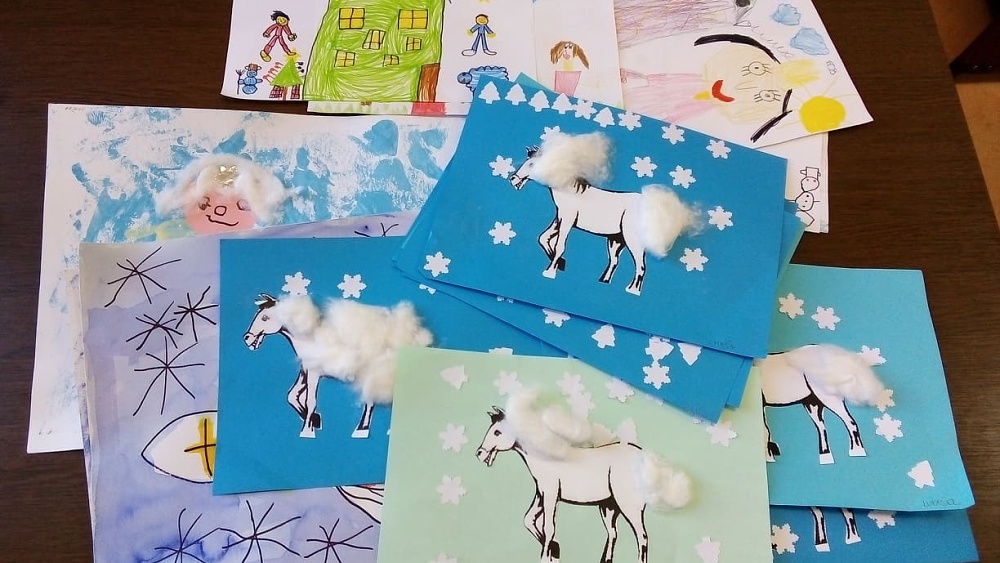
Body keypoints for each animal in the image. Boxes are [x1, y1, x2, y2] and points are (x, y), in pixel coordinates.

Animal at [242, 293, 374, 439]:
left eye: (265, 317)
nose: (247, 338)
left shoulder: (314, 373)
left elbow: (310, 401)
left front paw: (307, 430)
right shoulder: (305, 371)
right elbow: (292, 395)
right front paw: (315, 420)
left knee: (370, 402)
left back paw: (361, 430)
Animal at [476, 407, 689, 563]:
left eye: (497, 432)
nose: (479, 453)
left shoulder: (551, 494)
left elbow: (548, 526)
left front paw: (548, 556)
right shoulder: (542, 493)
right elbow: (529, 520)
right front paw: (555, 550)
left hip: (629, 507)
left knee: (642, 536)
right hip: (609, 507)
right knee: (613, 534)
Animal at [509, 147, 653, 295]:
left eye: (531, 164)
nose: (513, 179)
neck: (570, 191)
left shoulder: (567, 221)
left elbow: (559, 246)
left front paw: (550, 272)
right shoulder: (560, 218)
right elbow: (544, 238)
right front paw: (561, 264)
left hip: (632, 240)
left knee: (640, 265)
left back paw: (633, 290)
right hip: (616, 240)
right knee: (614, 261)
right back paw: (604, 281)